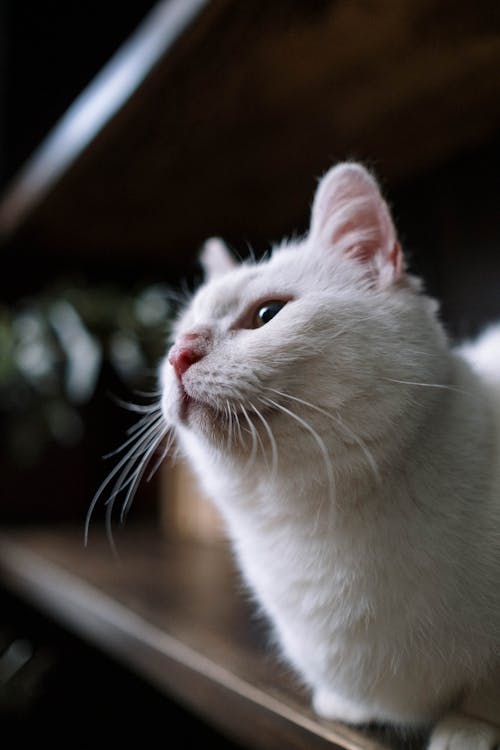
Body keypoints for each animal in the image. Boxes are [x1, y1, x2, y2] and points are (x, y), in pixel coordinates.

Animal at [160, 162, 500, 748]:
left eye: (267, 313)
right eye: (177, 334)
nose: (179, 354)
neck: (307, 523)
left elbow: (487, 692)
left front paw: (469, 728)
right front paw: (350, 706)